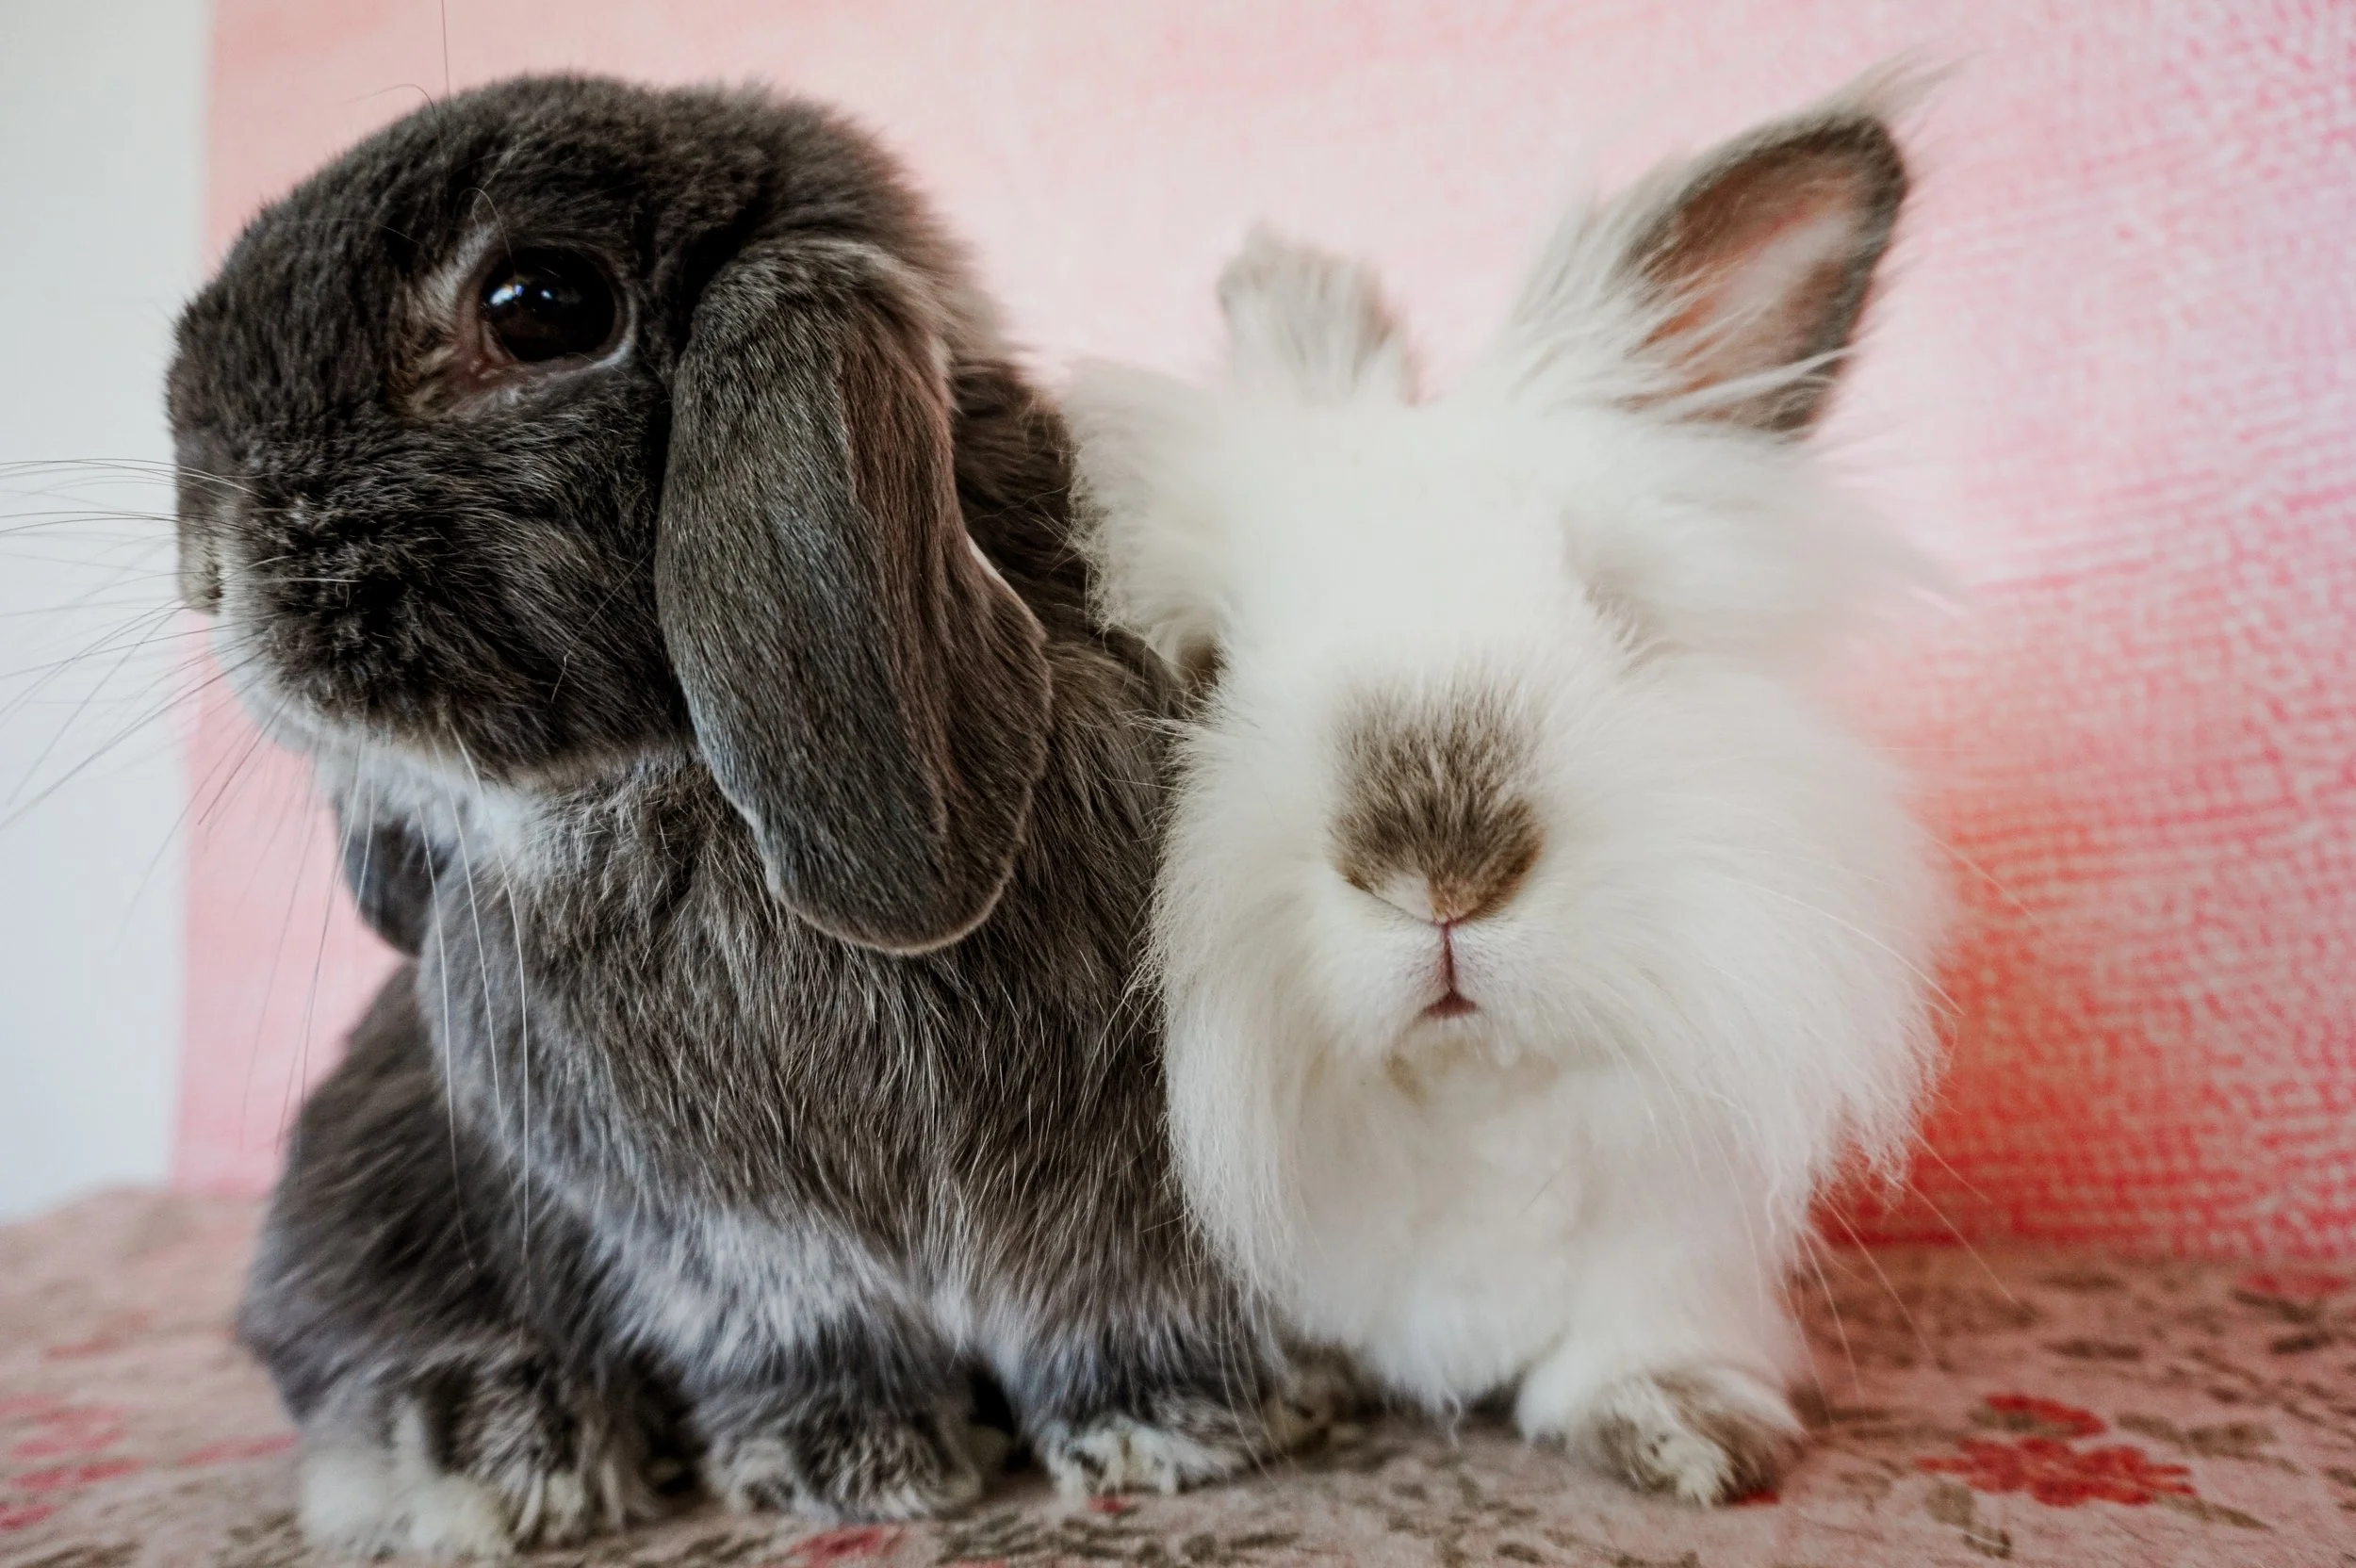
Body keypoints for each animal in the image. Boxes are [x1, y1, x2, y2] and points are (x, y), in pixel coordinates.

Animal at [169, 76, 1316, 1557]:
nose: (205, 561)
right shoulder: (725, 1239)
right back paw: (492, 1455)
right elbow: (809, 1327)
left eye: (540, 307)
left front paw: (1176, 1429)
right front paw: (843, 1462)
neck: (663, 792)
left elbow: (1120, 1299)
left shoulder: (1141, 1191)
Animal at [1067, 91, 1946, 1507]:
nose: (1441, 868)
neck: (1463, 1092)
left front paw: (1686, 1430)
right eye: (1207, 670)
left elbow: (1640, 1334)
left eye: (1614, 614)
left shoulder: (1682, 1223)